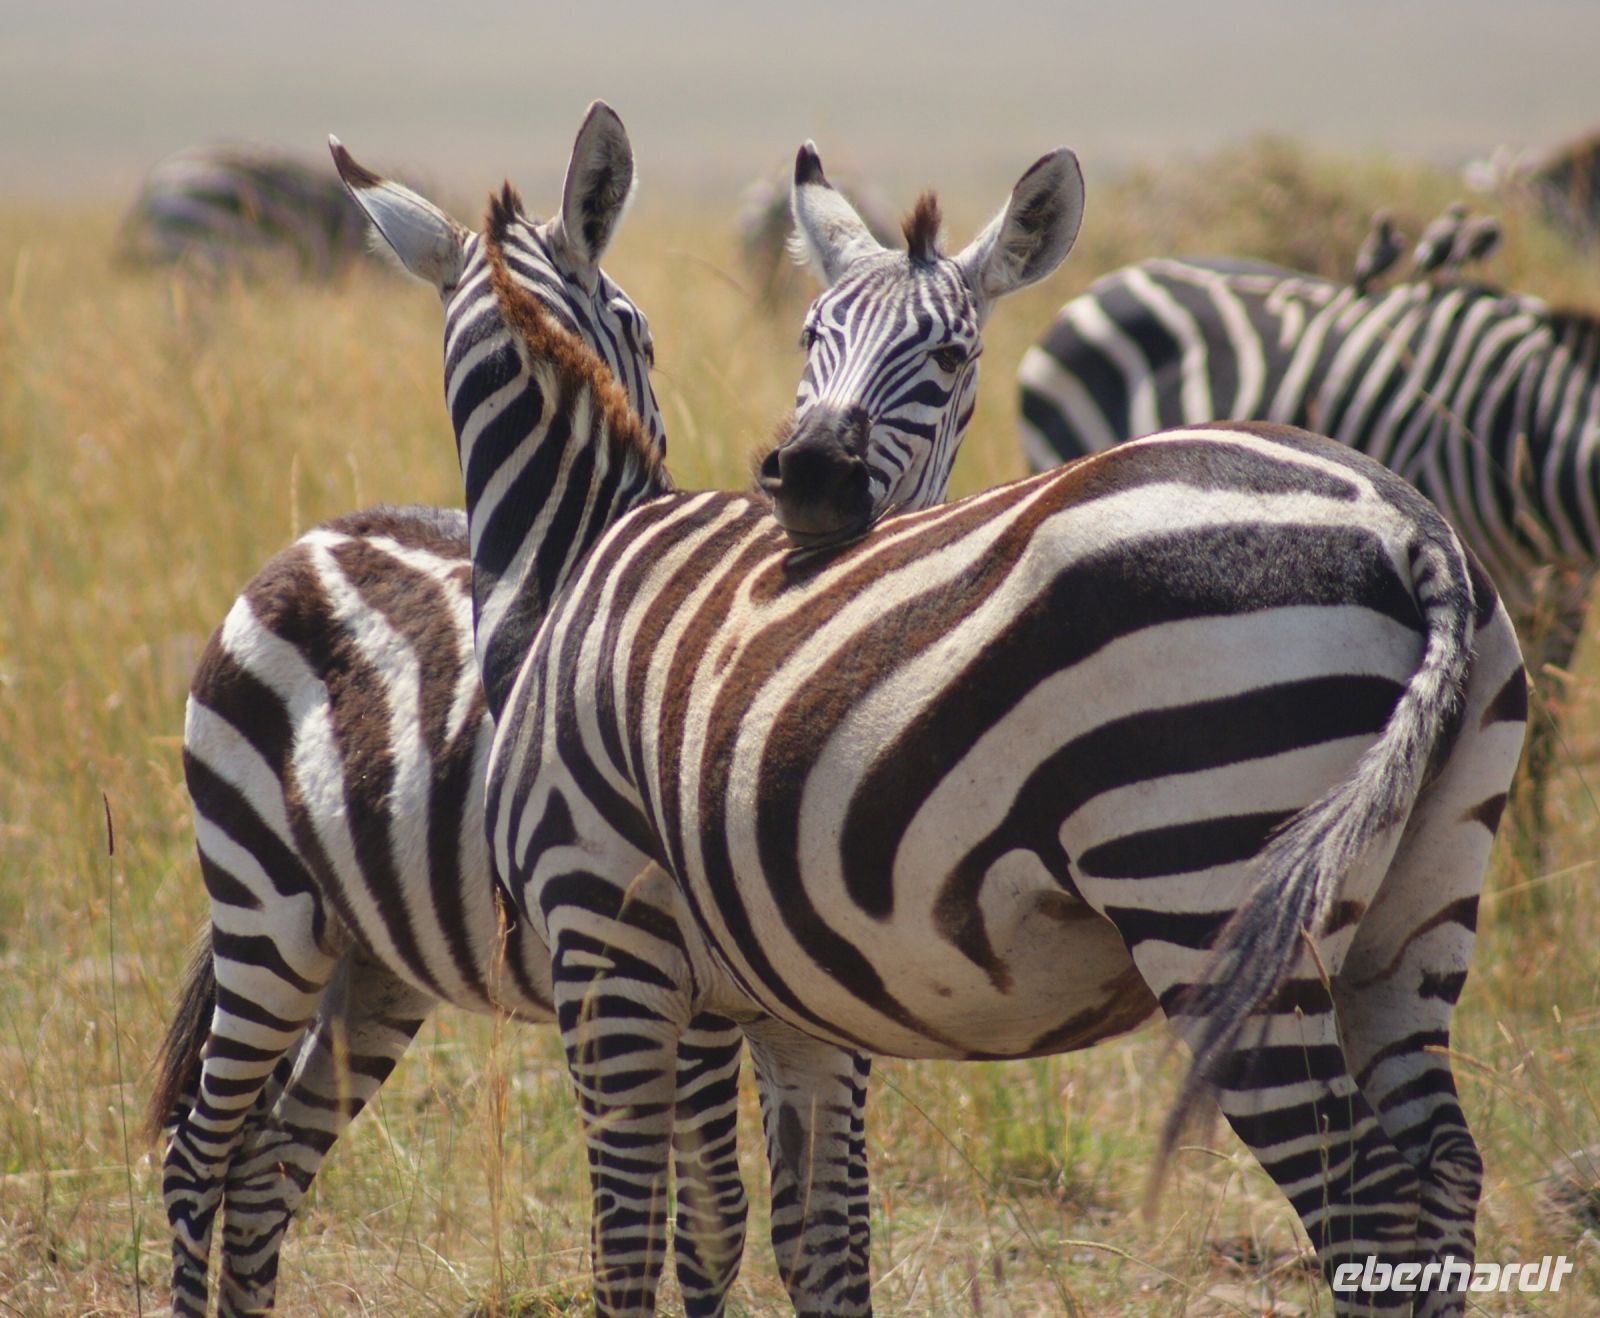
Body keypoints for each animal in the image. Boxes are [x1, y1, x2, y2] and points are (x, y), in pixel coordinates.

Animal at [350, 126, 1526, 1318]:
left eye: (635, 325)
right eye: (803, 333)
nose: (804, 478)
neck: (571, 558)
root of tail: (1410, 526)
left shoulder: (609, 945)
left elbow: (636, 1243)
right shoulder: (787, 1006)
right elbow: (816, 1240)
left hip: (1206, 888)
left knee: (1363, 1201)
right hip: (1409, 917)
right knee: (1440, 1170)